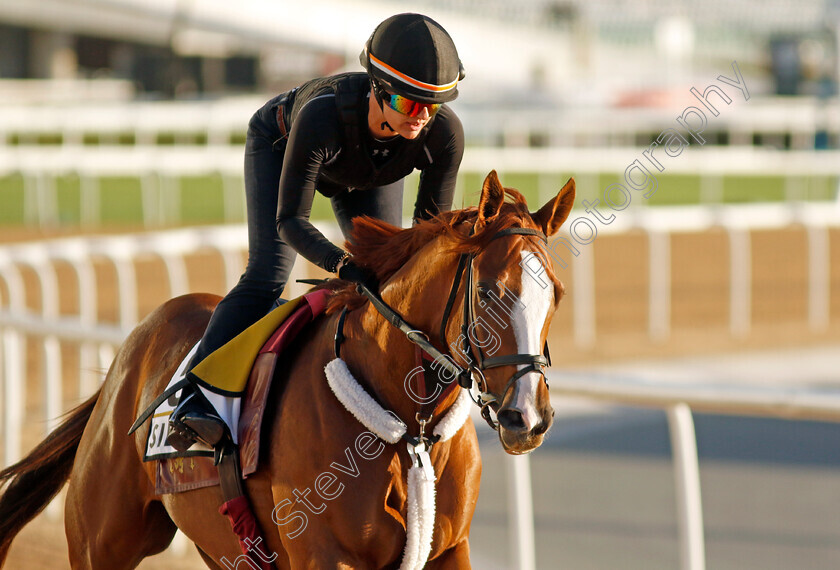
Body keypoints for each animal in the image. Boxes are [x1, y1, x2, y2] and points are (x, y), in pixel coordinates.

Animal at [0, 171, 576, 564]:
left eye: (557, 294)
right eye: (491, 292)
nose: (529, 417)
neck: (407, 426)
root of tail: (132, 349)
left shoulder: (449, 548)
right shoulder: (325, 554)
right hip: (102, 543)